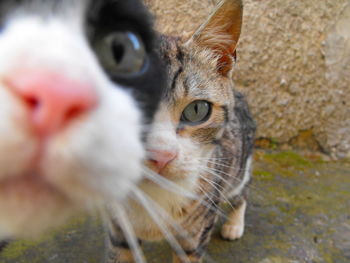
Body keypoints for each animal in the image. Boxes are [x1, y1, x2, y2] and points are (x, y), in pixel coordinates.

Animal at [105, 0, 256, 263]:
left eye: (197, 109)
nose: (160, 155)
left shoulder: (196, 234)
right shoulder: (118, 230)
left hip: (236, 168)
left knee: (242, 190)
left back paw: (234, 225)